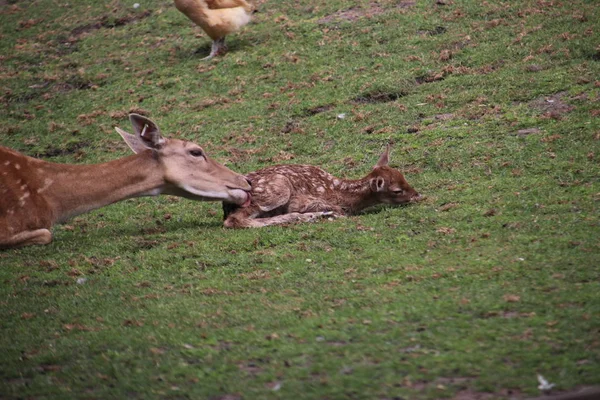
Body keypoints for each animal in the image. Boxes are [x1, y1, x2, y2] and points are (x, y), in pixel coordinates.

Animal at [221, 146, 422, 228]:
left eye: (404, 177)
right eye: (397, 191)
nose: (417, 195)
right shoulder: (302, 200)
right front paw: (328, 214)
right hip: (277, 190)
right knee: (234, 220)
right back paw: (308, 217)